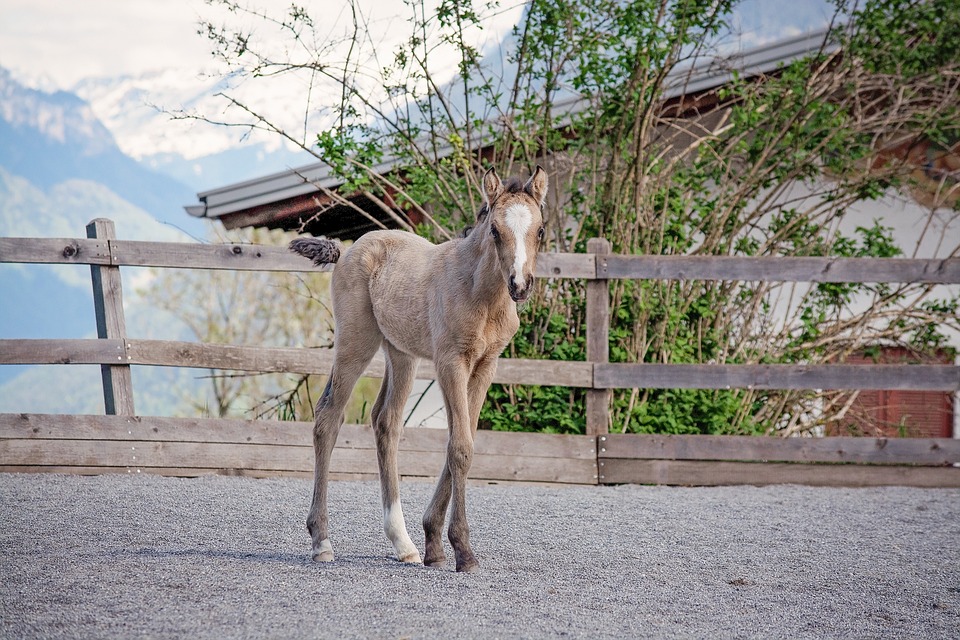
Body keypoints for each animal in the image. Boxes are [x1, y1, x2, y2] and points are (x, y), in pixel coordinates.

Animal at [288, 165, 548, 568]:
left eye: (540, 230)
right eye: (494, 230)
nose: (520, 285)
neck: (481, 294)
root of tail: (347, 250)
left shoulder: (486, 365)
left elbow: (463, 440)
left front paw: (434, 545)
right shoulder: (450, 362)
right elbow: (460, 447)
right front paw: (463, 551)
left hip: (401, 354)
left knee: (386, 422)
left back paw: (404, 543)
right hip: (355, 343)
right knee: (328, 417)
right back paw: (322, 541)